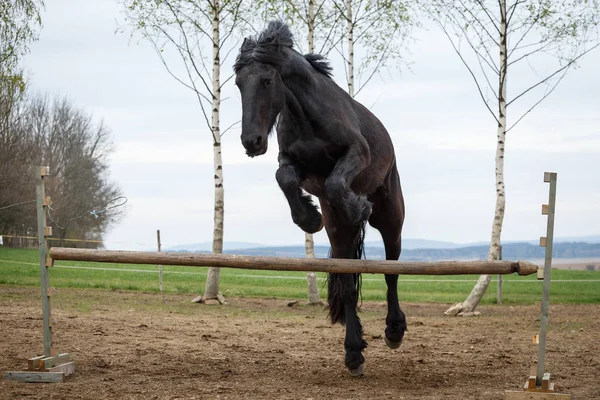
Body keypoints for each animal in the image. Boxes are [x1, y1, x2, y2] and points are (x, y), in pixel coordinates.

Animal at [232, 20, 406, 376]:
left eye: (267, 80)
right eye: (239, 83)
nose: (251, 141)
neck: (305, 115)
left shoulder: (356, 154)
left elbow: (338, 181)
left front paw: (358, 205)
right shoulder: (293, 163)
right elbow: (284, 179)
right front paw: (309, 218)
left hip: (391, 216)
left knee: (391, 269)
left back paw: (394, 331)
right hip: (340, 234)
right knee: (348, 286)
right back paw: (353, 354)